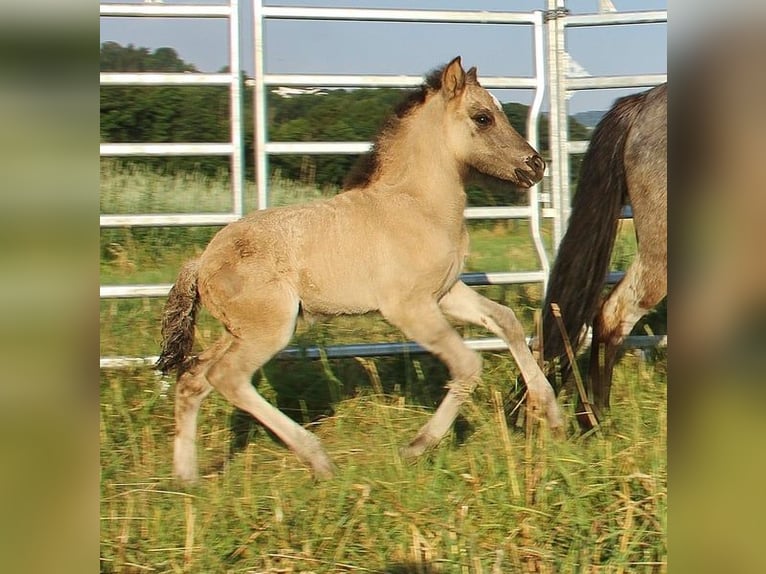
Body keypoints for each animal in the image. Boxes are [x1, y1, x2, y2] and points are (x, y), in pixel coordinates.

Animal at [156, 57, 563, 482]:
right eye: (482, 117)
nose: (536, 165)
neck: (417, 206)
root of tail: (202, 261)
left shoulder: (445, 293)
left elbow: (506, 320)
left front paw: (551, 416)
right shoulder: (409, 308)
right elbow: (468, 364)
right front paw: (416, 446)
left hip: (239, 331)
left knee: (193, 377)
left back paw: (187, 478)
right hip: (267, 331)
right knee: (227, 378)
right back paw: (318, 459)